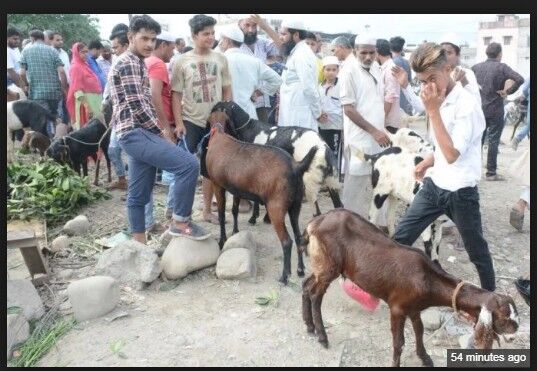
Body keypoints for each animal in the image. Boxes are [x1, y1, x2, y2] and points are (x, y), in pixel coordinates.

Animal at [201, 112, 318, 284]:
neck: (219, 134)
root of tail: (296, 166)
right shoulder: (236, 189)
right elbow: (234, 210)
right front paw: (235, 231)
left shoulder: (218, 184)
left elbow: (222, 214)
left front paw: (222, 241)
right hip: (295, 206)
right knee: (298, 238)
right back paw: (300, 270)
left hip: (276, 208)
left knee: (286, 241)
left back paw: (285, 276)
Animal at [208, 100, 340, 225]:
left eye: (215, 109)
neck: (250, 128)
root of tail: (322, 146)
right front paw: (266, 218)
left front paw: (254, 218)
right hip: (331, 183)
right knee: (339, 205)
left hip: (309, 185)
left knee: (317, 212)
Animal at [300, 211, 516, 368]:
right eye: (504, 318)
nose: (514, 334)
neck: (428, 280)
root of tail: (315, 223)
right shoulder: (397, 308)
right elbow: (399, 343)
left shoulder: (414, 309)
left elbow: (419, 331)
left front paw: (425, 358)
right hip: (330, 265)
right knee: (316, 294)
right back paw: (322, 336)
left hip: (321, 263)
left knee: (306, 285)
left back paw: (309, 326)